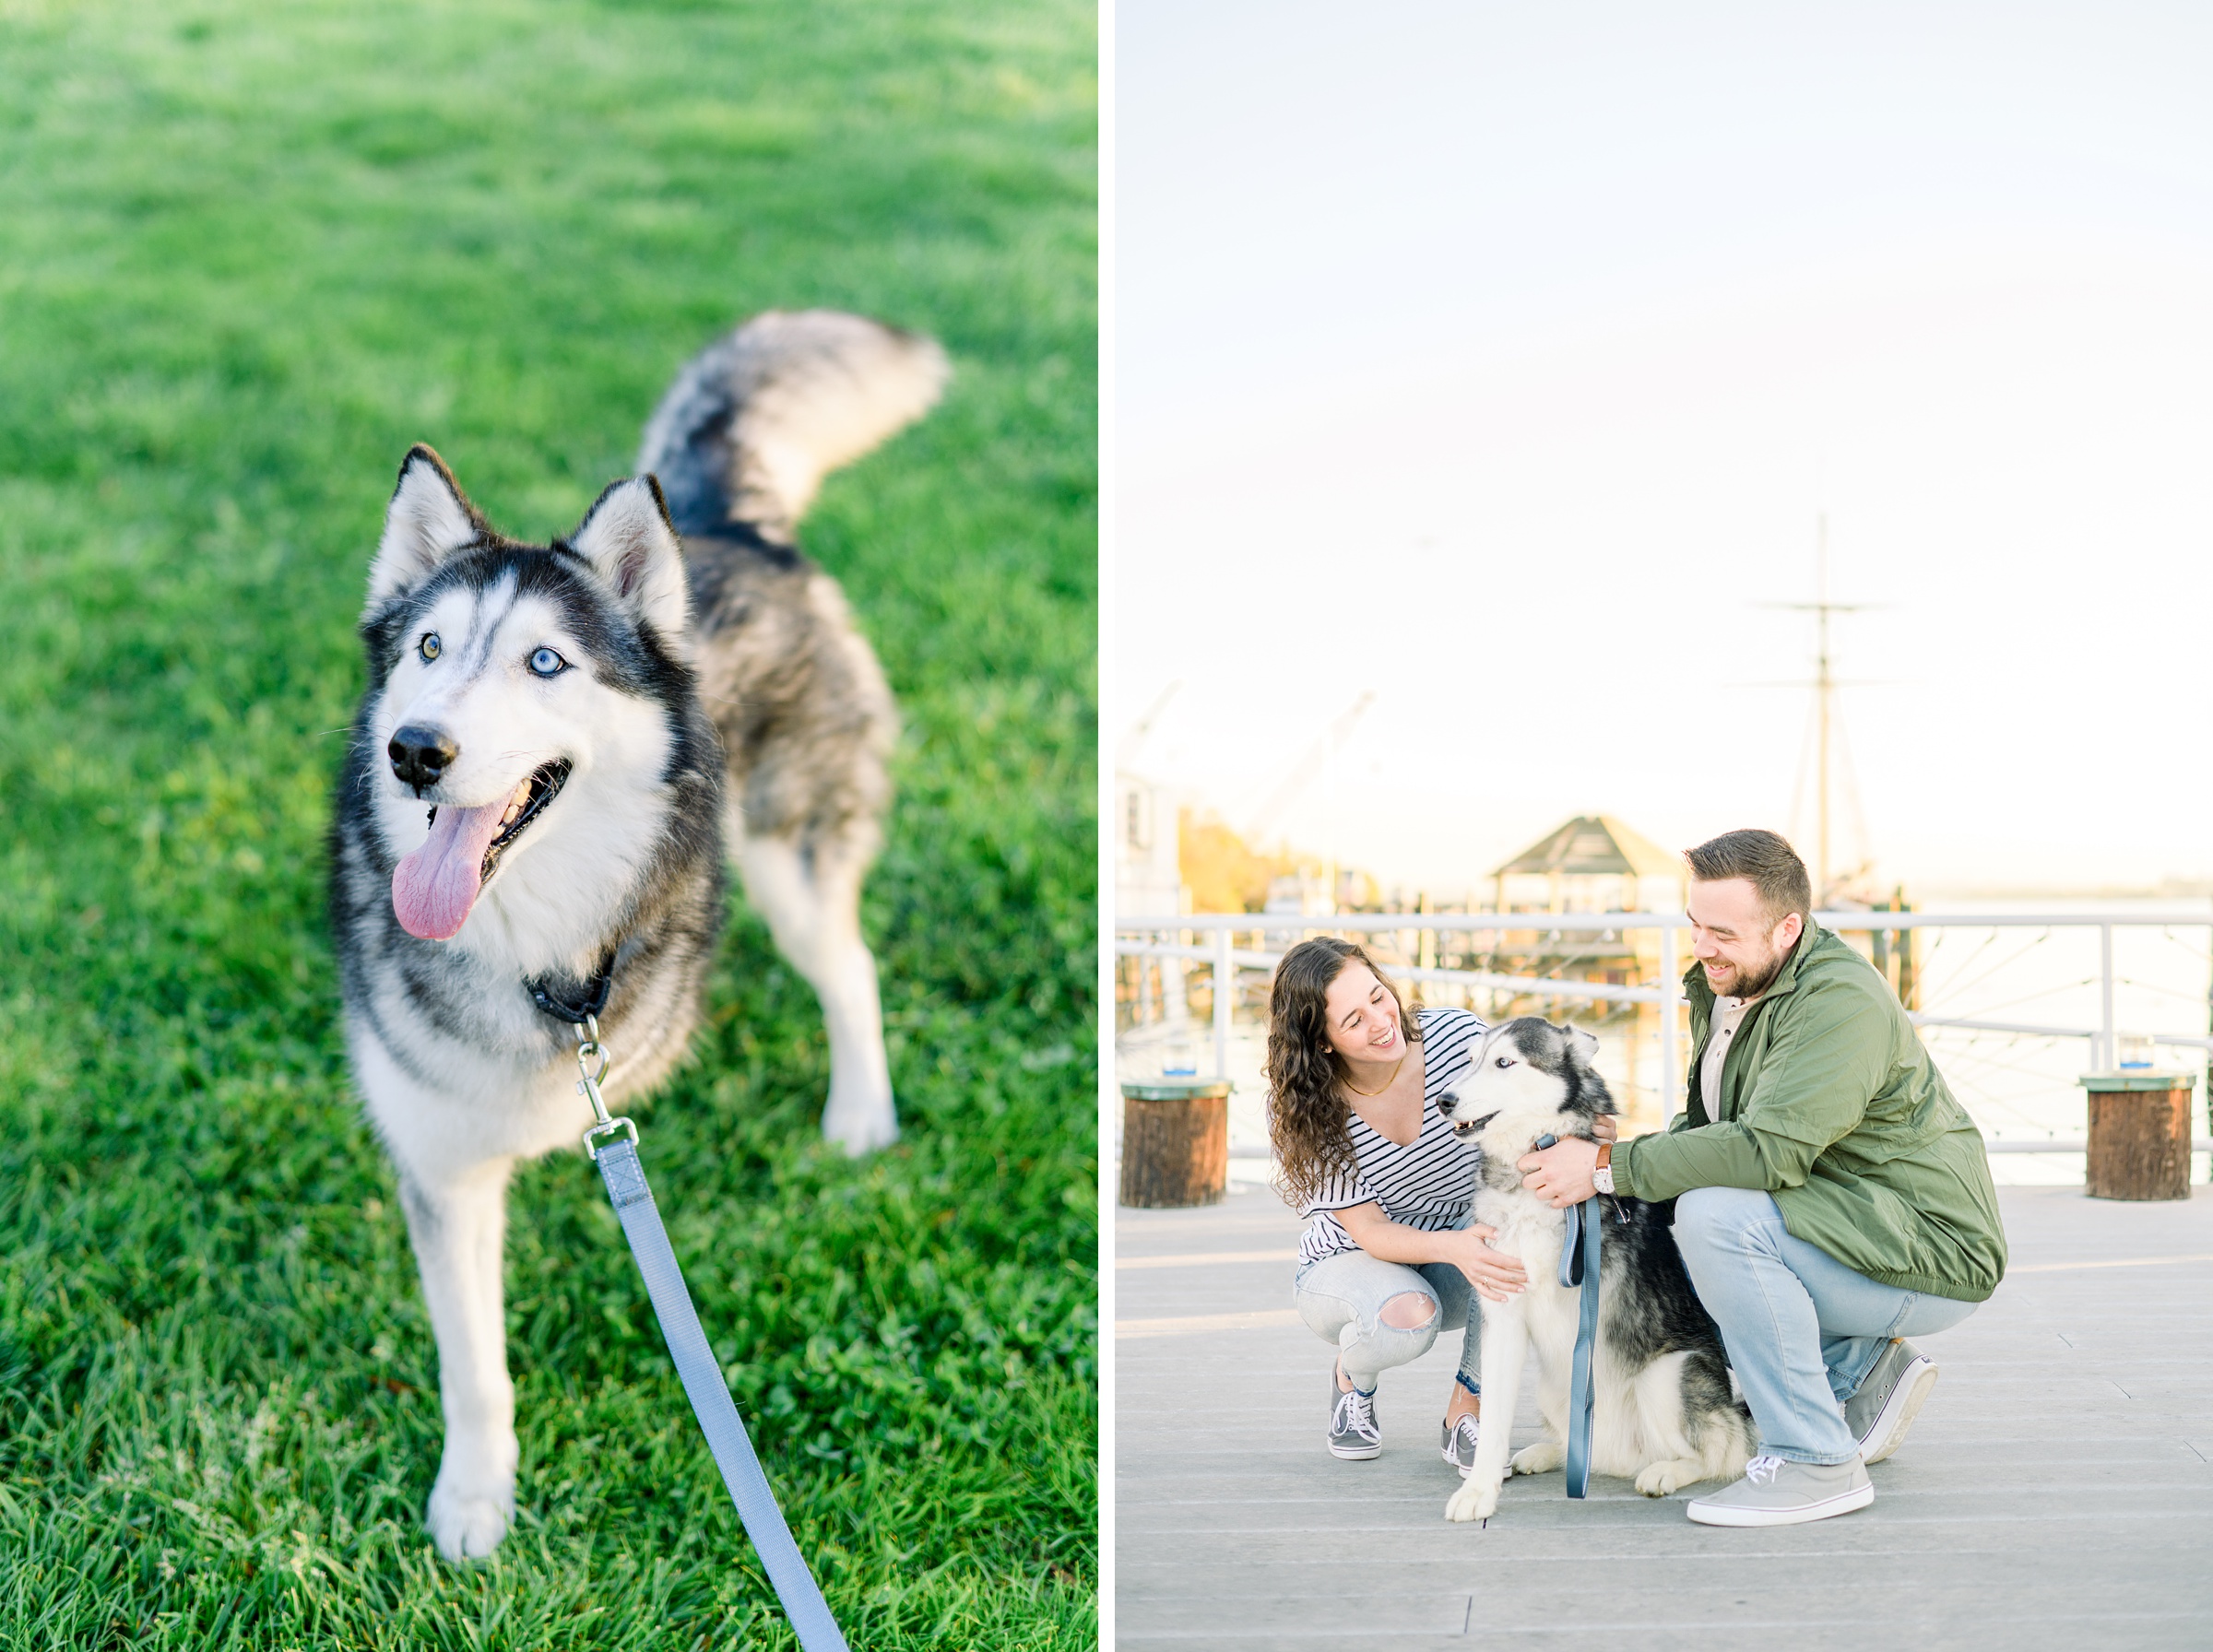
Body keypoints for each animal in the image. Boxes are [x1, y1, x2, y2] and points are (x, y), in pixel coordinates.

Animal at [327, 309, 942, 1565]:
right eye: (426, 650)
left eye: (544, 662)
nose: (416, 750)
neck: (536, 953)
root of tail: (731, 525)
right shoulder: (443, 1165)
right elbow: (474, 1366)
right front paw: (478, 1499)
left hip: (784, 854)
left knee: (847, 964)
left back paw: (859, 1112)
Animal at [1434, 1021, 1761, 1521]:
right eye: (1472, 1060)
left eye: (1505, 1062)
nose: (1444, 1100)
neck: (1528, 1175)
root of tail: (1615, 1455)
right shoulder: (1504, 1313)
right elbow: (1493, 1420)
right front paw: (1479, 1490)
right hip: (1554, 1385)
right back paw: (1548, 1453)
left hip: (1665, 1377)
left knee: (1718, 1452)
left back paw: (1666, 1472)